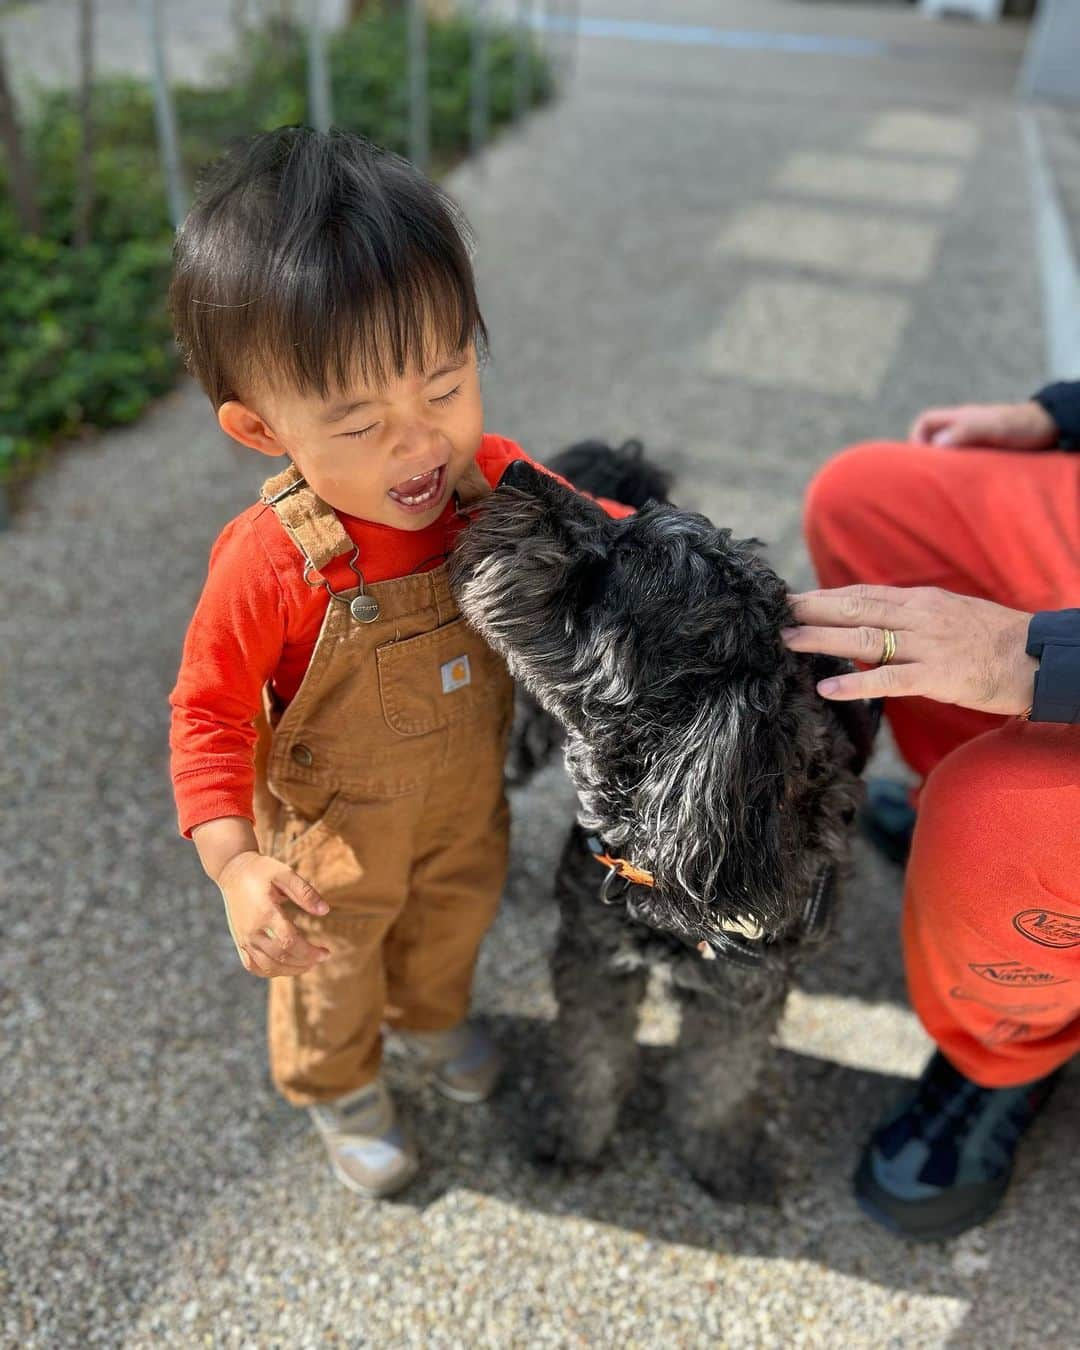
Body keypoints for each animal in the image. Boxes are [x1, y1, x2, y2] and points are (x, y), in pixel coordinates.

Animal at [448, 442, 869, 1204]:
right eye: (625, 526)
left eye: (607, 574)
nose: (515, 472)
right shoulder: (594, 954)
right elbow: (590, 1061)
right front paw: (576, 1139)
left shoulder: (744, 993)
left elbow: (719, 1082)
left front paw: (714, 1157)